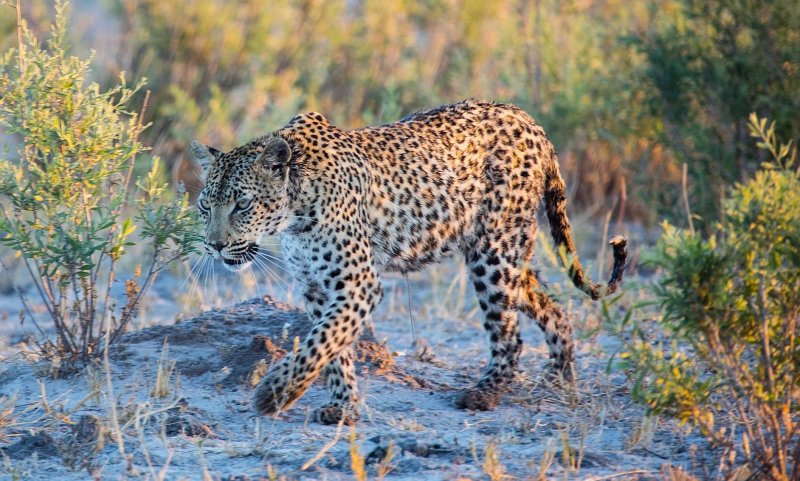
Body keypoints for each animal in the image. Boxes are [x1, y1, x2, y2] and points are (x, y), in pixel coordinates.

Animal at [191, 98, 628, 424]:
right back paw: (560, 376)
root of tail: (528, 119)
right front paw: (342, 406)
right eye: (204, 206)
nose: (214, 246)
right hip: (507, 255)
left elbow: (322, 340)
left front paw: (274, 393)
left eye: (242, 205)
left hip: (494, 252)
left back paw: (485, 394)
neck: (293, 213)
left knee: (508, 333)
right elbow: (332, 347)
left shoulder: (358, 283)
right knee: (551, 306)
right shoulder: (316, 287)